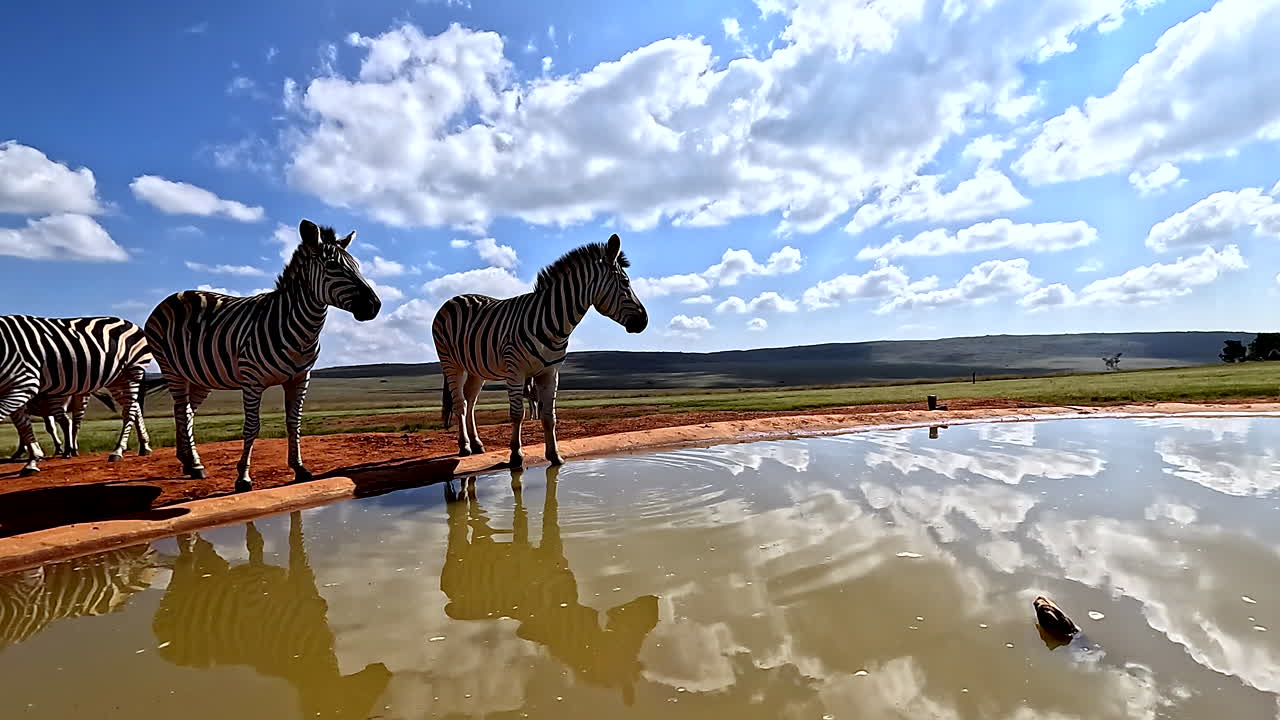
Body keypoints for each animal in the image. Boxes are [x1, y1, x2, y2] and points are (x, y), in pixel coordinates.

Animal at [0, 315, 155, 476]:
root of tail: (133, 324)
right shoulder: (15, 390)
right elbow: (23, 426)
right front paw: (32, 460)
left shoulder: (24, 384)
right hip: (116, 379)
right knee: (134, 407)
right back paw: (144, 446)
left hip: (132, 371)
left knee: (128, 411)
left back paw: (117, 450)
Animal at [145, 219, 381, 491]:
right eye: (333, 266)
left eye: (357, 267)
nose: (375, 306)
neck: (299, 328)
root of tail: (175, 295)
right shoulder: (252, 381)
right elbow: (251, 427)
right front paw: (243, 478)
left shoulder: (300, 378)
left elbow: (294, 422)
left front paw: (299, 468)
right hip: (172, 369)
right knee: (183, 412)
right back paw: (193, 464)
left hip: (198, 377)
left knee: (184, 413)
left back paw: (188, 462)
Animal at [153, 511, 392, 719]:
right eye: (360, 701)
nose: (385, 671)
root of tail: (164, 647)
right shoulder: (262, 586)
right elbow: (266, 540)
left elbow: (279, 537)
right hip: (182, 584)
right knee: (185, 559)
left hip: (214, 568)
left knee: (201, 553)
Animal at [432, 233, 647, 469]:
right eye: (625, 282)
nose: (644, 321)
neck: (553, 324)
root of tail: (455, 298)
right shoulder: (515, 371)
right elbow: (518, 414)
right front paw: (516, 456)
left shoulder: (550, 373)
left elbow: (549, 416)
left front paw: (555, 456)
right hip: (452, 363)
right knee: (460, 404)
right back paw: (464, 446)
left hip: (476, 368)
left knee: (470, 402)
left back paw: (477, 444)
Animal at [441, 466, 659, 705]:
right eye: (634, 644)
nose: (655, 603)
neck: (567, 618)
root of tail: (449, 598)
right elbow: (538, 515)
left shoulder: (554, 556)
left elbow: (546, 511)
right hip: (460, 550)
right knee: (459, 527)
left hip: (482, 546)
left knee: (477, 520)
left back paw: (466, 494)